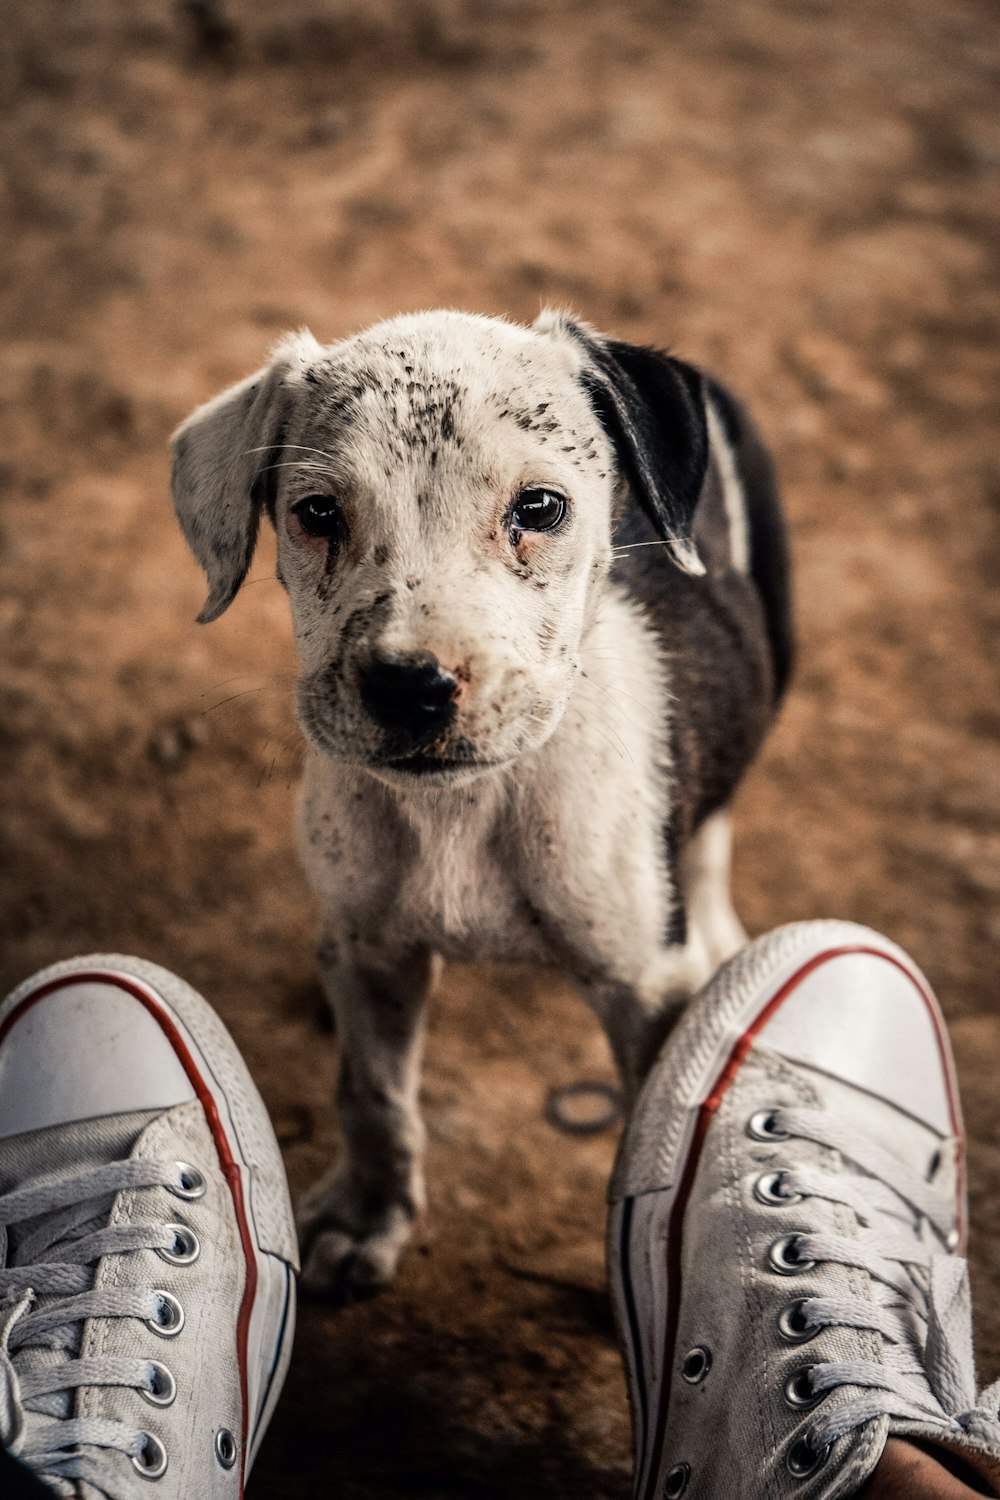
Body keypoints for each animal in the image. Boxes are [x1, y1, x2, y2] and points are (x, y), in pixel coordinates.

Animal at [173, 307, 797, 1302]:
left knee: (712, 831)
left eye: (538, 509)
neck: (465, 809)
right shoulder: (372, 945)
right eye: (317, 514)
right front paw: (368, 1219)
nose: (411, 687)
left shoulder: (643, 988)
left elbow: (649, 1143)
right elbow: (373, 1097)